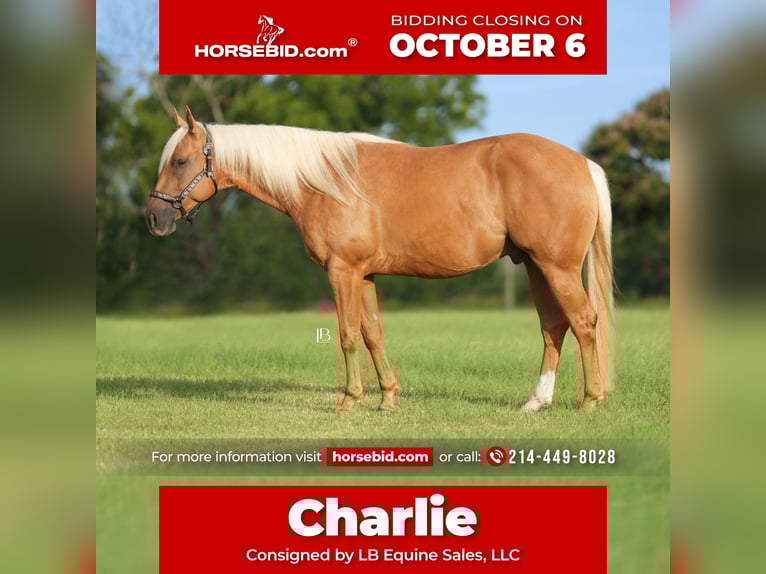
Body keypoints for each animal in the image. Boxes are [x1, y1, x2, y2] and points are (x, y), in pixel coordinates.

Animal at [146, 107, 614, 414]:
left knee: (584, 322)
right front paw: (388, 397)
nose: (154, 218)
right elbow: (373, 333)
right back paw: (537, 401)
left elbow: (348, 335)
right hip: (535, 266)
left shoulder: (342, 271)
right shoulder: (365, 274)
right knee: (554, 326)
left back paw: (590, 401)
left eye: (181, 160)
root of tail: (582, 163)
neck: (324, 182)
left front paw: (349, 400)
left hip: (557, 267)